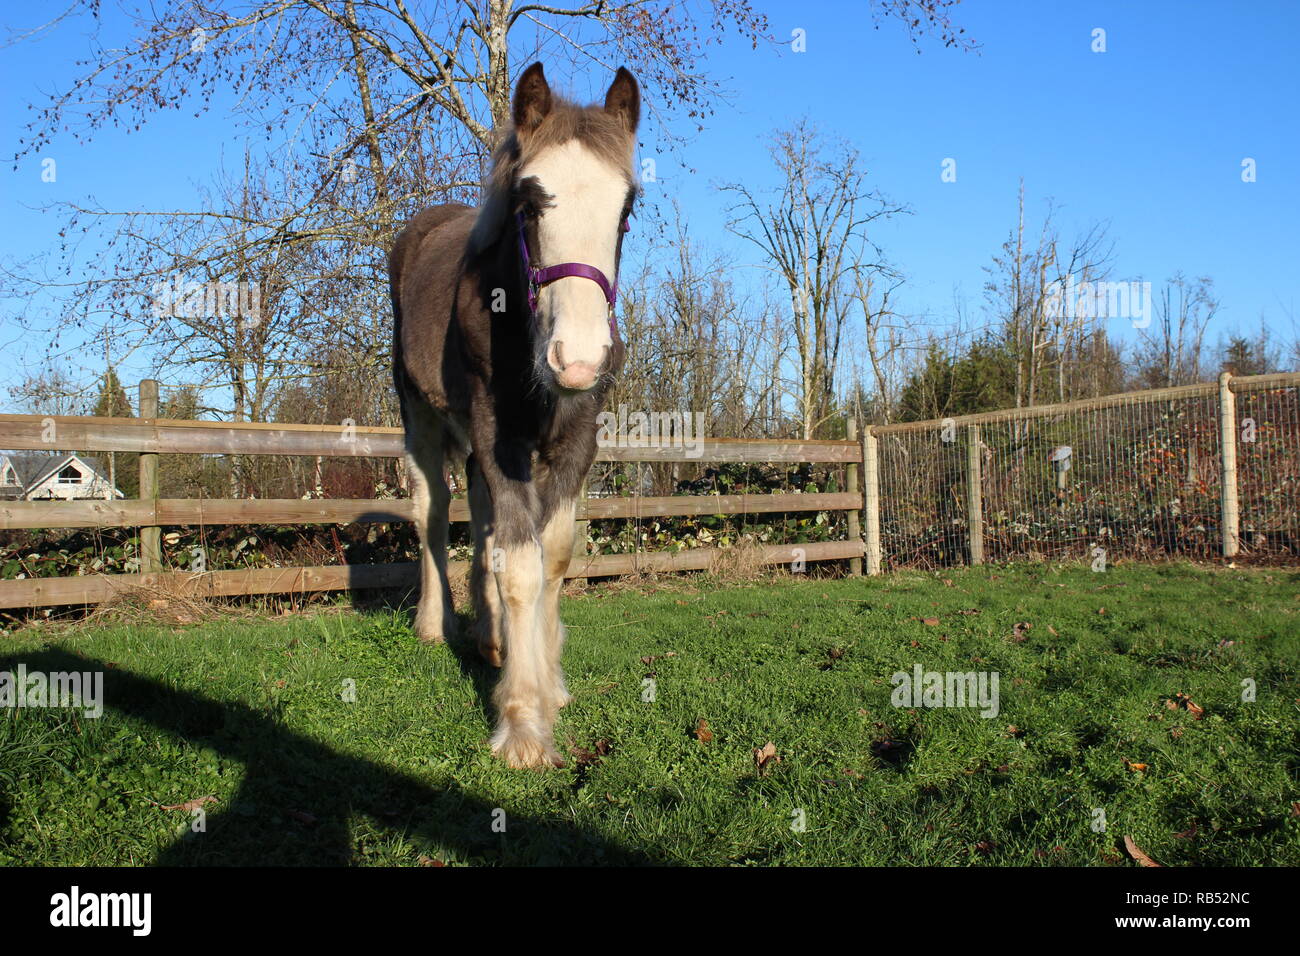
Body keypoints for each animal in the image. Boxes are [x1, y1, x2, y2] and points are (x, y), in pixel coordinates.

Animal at [389, 63, 639, 768]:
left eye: (627, 211)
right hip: (419, 416)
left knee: (481, 525)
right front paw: (524, 721)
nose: (577, 359)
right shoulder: (499, 434)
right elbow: (520, 564)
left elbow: (549, 555)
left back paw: (492, 639)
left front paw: (547, 683)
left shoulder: (576, 439)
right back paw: (436, 625)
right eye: (529, 205)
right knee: (434, 513)